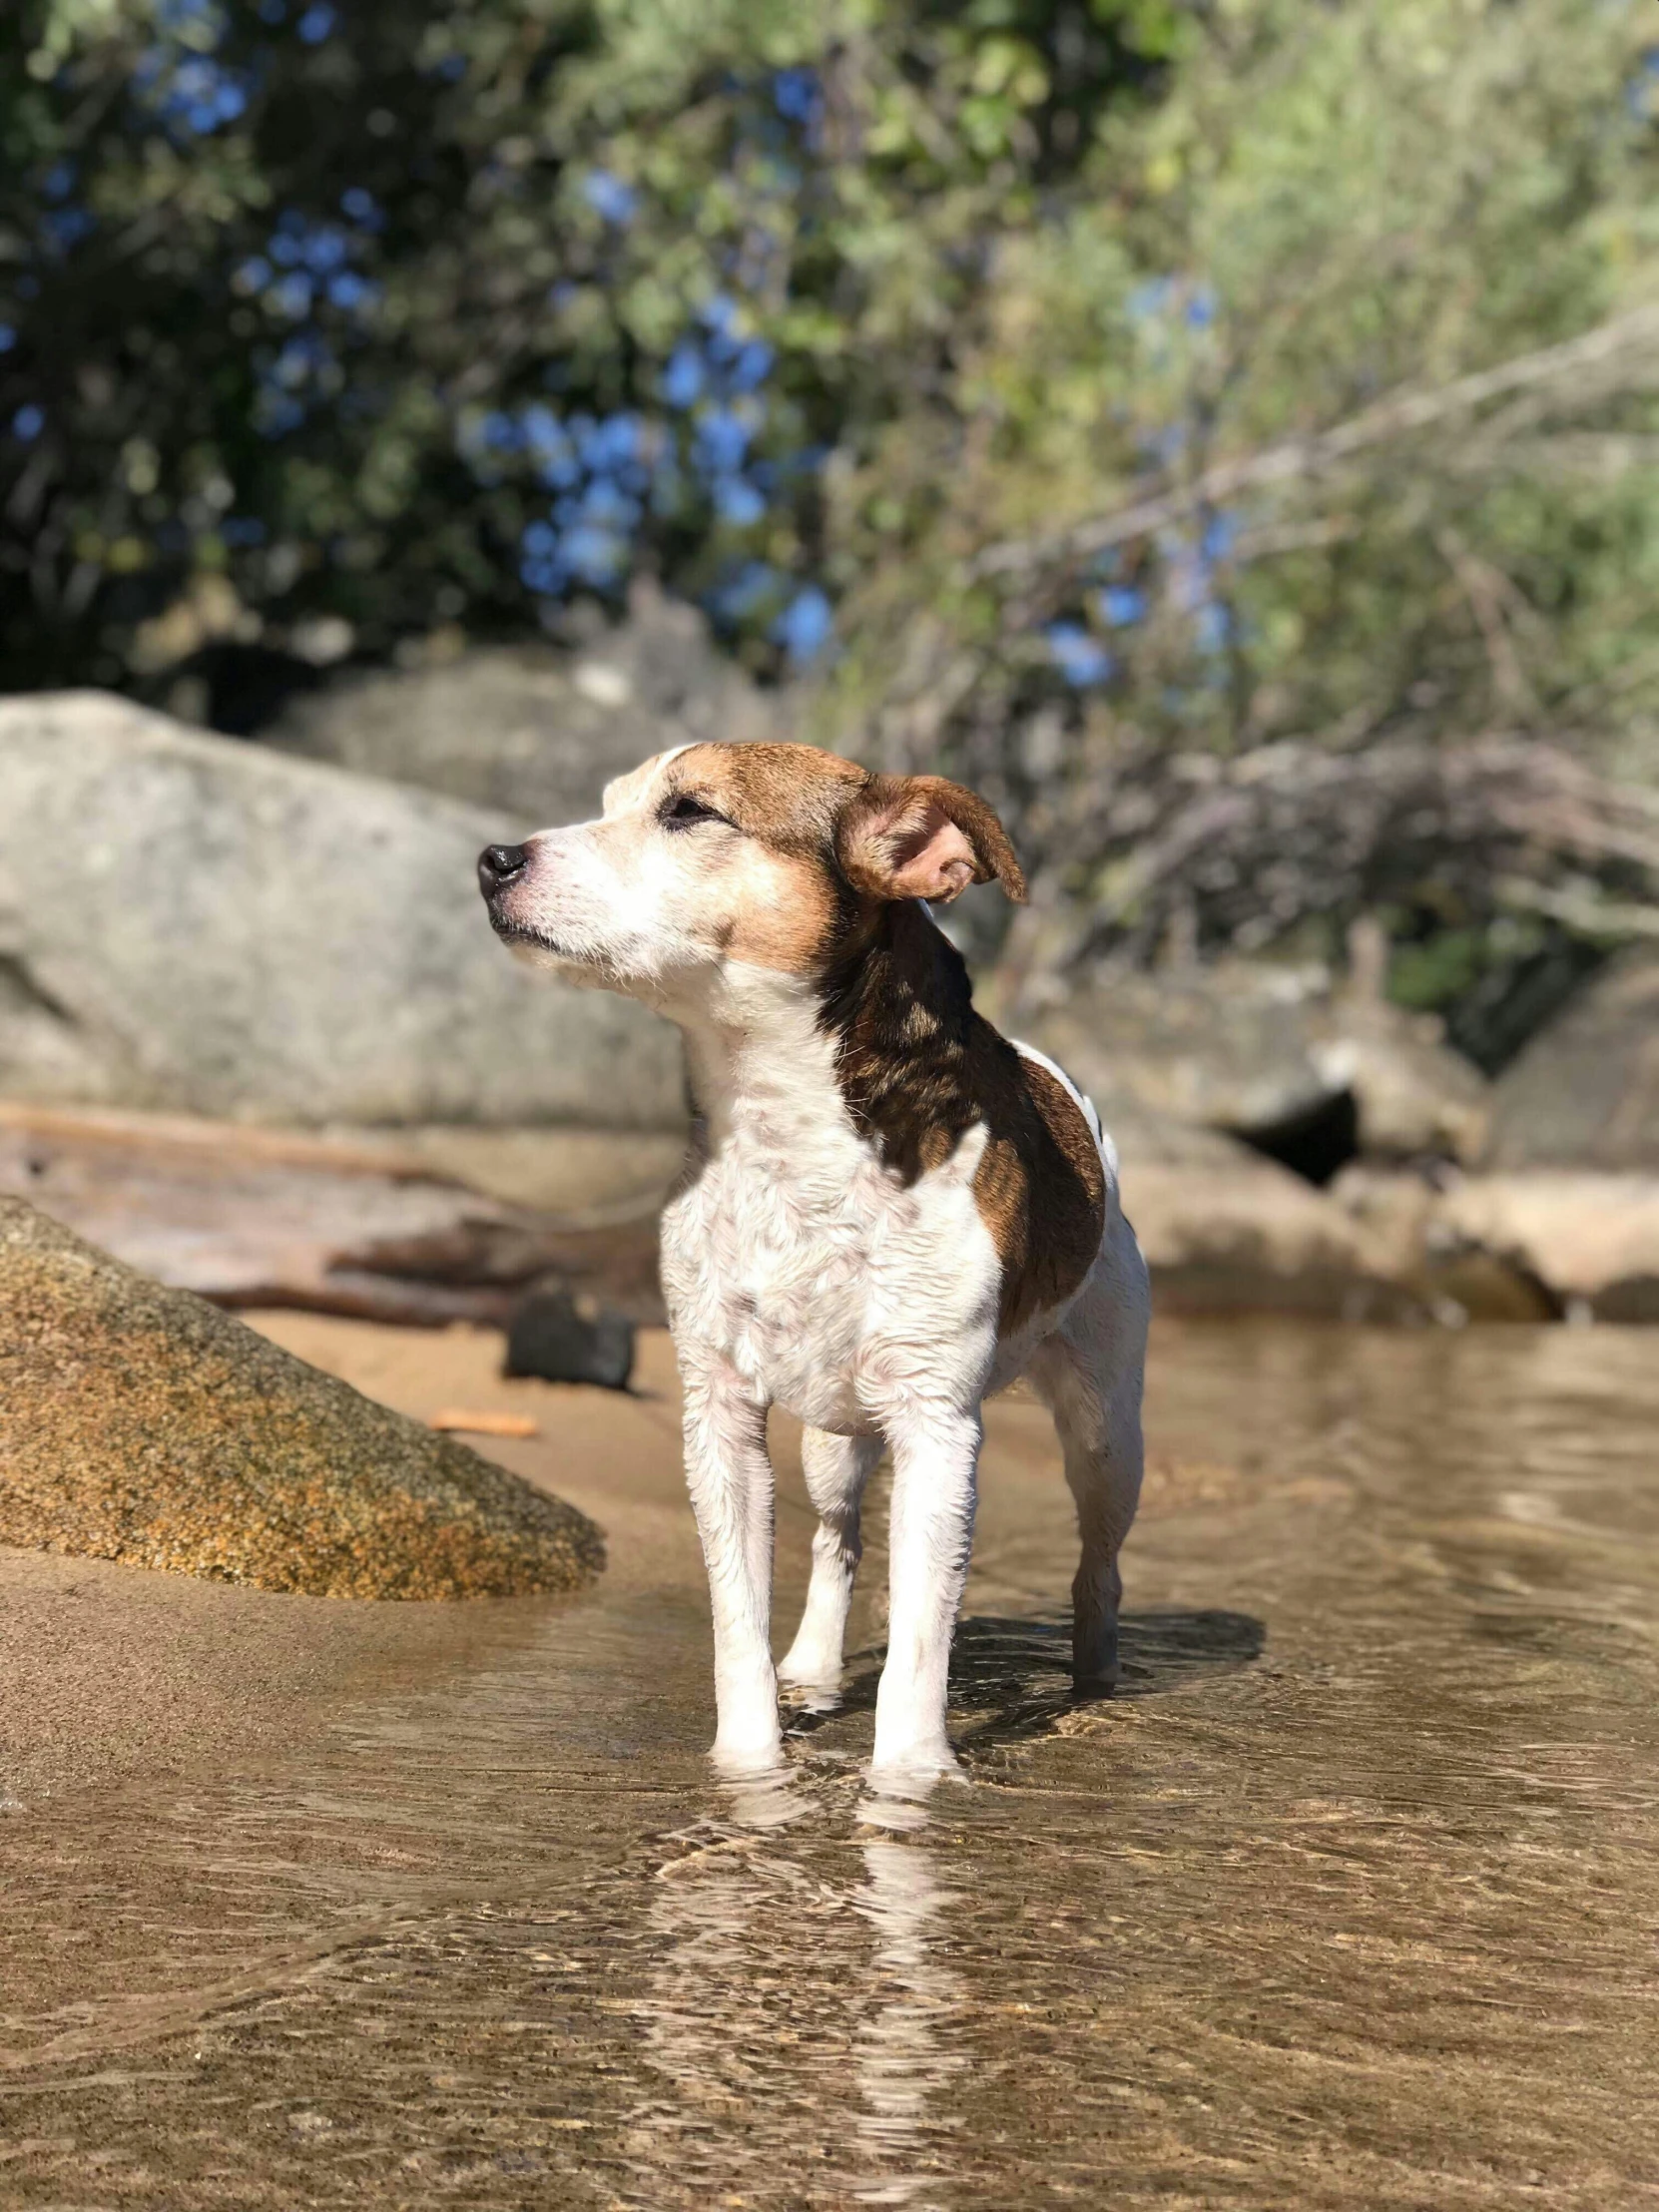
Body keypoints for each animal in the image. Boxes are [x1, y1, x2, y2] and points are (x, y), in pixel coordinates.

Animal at [473, 743, 1150, 1778]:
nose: (493, 859)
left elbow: (919, 1646)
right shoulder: (720, 1418)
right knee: (838, 1539)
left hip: (1108, 1433)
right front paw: (749, 1769)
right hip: (833, 1438)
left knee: (1098, 1570)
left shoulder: (937, 1430)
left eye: (690, 811)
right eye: (610, 803)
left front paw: (909, 1783)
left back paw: (1096, 1680)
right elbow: (738, 1625)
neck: (782, 1132)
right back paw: (816, 1667)